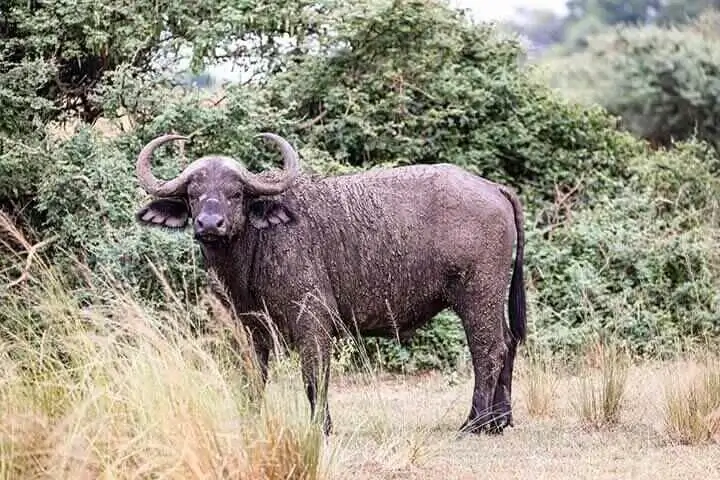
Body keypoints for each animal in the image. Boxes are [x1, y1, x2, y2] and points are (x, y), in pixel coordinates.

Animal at [135, 131, 524, 436]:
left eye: (236, 194)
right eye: (193, 193)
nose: (210, 224)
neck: (255, 248)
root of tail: (492, 187)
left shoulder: (313, 318)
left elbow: (314, 375)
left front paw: (320, 427)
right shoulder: (246, 325)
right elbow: (251, 377)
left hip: (477, 296)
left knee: (488, 351)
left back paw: (474, 423)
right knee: (508, 343)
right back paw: (499, 421)